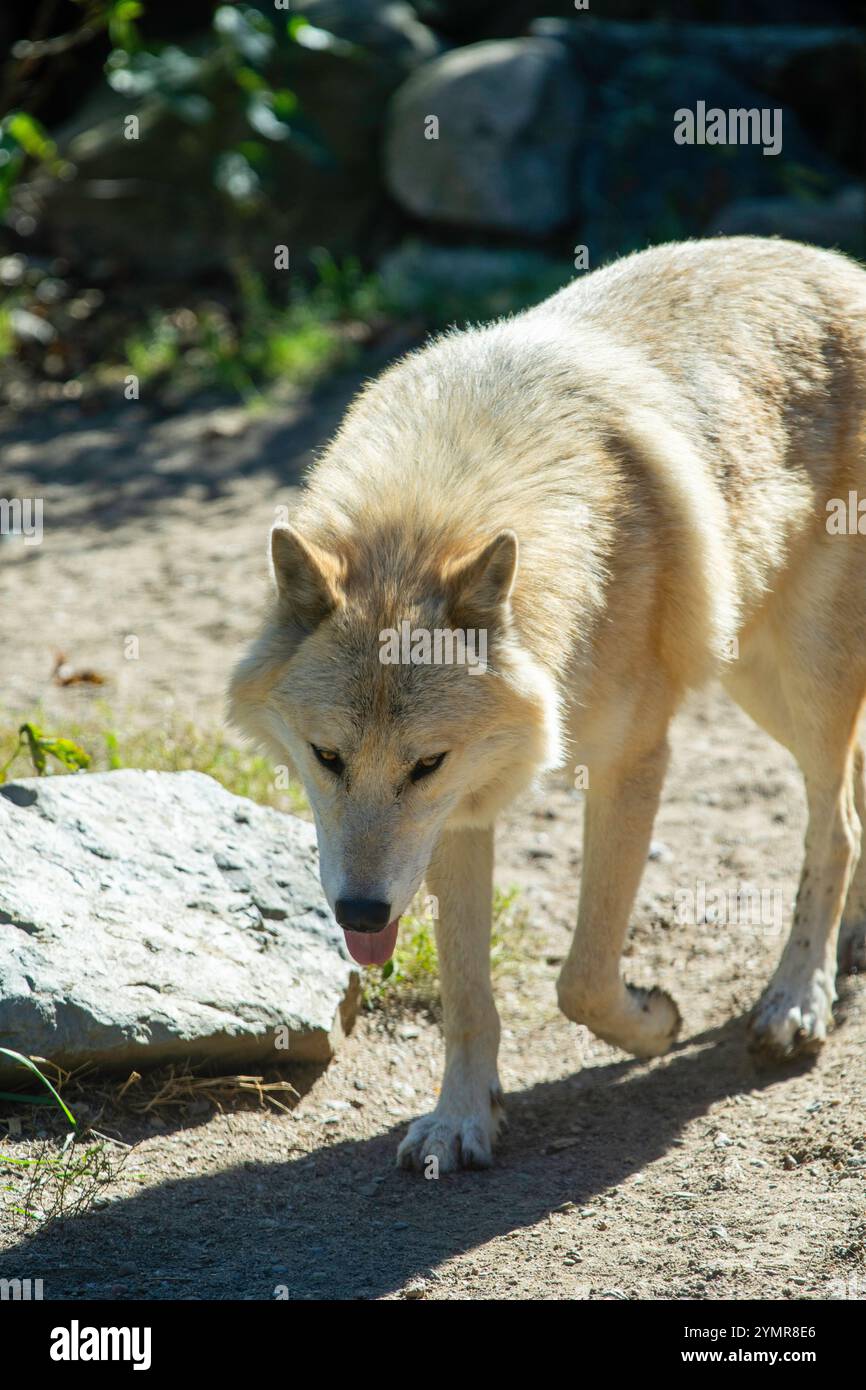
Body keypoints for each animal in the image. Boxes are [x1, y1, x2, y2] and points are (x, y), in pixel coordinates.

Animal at [230, 239, 866, 1173]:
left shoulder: (634, 759)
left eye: (424, 763)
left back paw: (796, 1001)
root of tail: (844, 269)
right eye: (327, 757)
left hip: (804, 680)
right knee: (853, 796)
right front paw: (460, 1119)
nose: (361, 914)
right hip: (761, 683)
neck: (434, 507)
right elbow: (466, 998)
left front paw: (653, 1023)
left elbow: (582, 979)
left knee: (836, 824)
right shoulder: (461, 816)